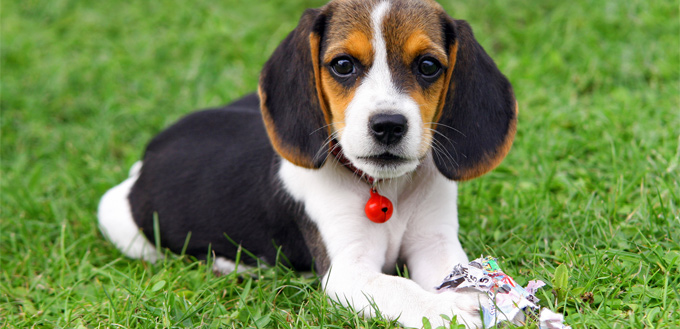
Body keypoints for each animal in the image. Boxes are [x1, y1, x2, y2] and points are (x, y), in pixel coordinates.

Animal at [99, 0, 516, 326]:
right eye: (343, 65)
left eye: (428, 66)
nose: (388, 125)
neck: (385, 188)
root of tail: (149, 154)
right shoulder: (348, 272)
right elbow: (400, 287)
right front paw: (452, 311)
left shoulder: (436, 242)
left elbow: (458, 271)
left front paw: (485, 295)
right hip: (118, 219)